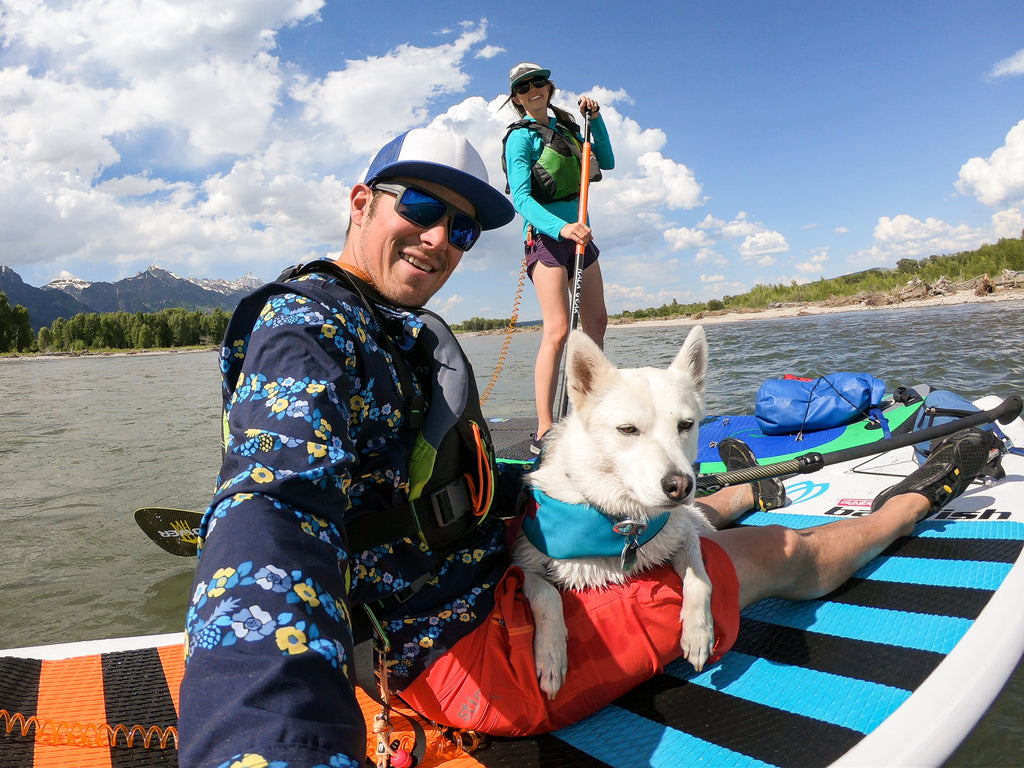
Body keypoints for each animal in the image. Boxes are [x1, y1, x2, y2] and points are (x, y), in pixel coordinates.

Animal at [516, 327, 716, 700]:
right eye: (628, 429)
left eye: (686, 425)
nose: (681, 486)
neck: (622, 520)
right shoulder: (523, 564)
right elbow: (547, 596)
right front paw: (551, 655)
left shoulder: (683, 534)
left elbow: (700, 578)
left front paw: (698, 632)